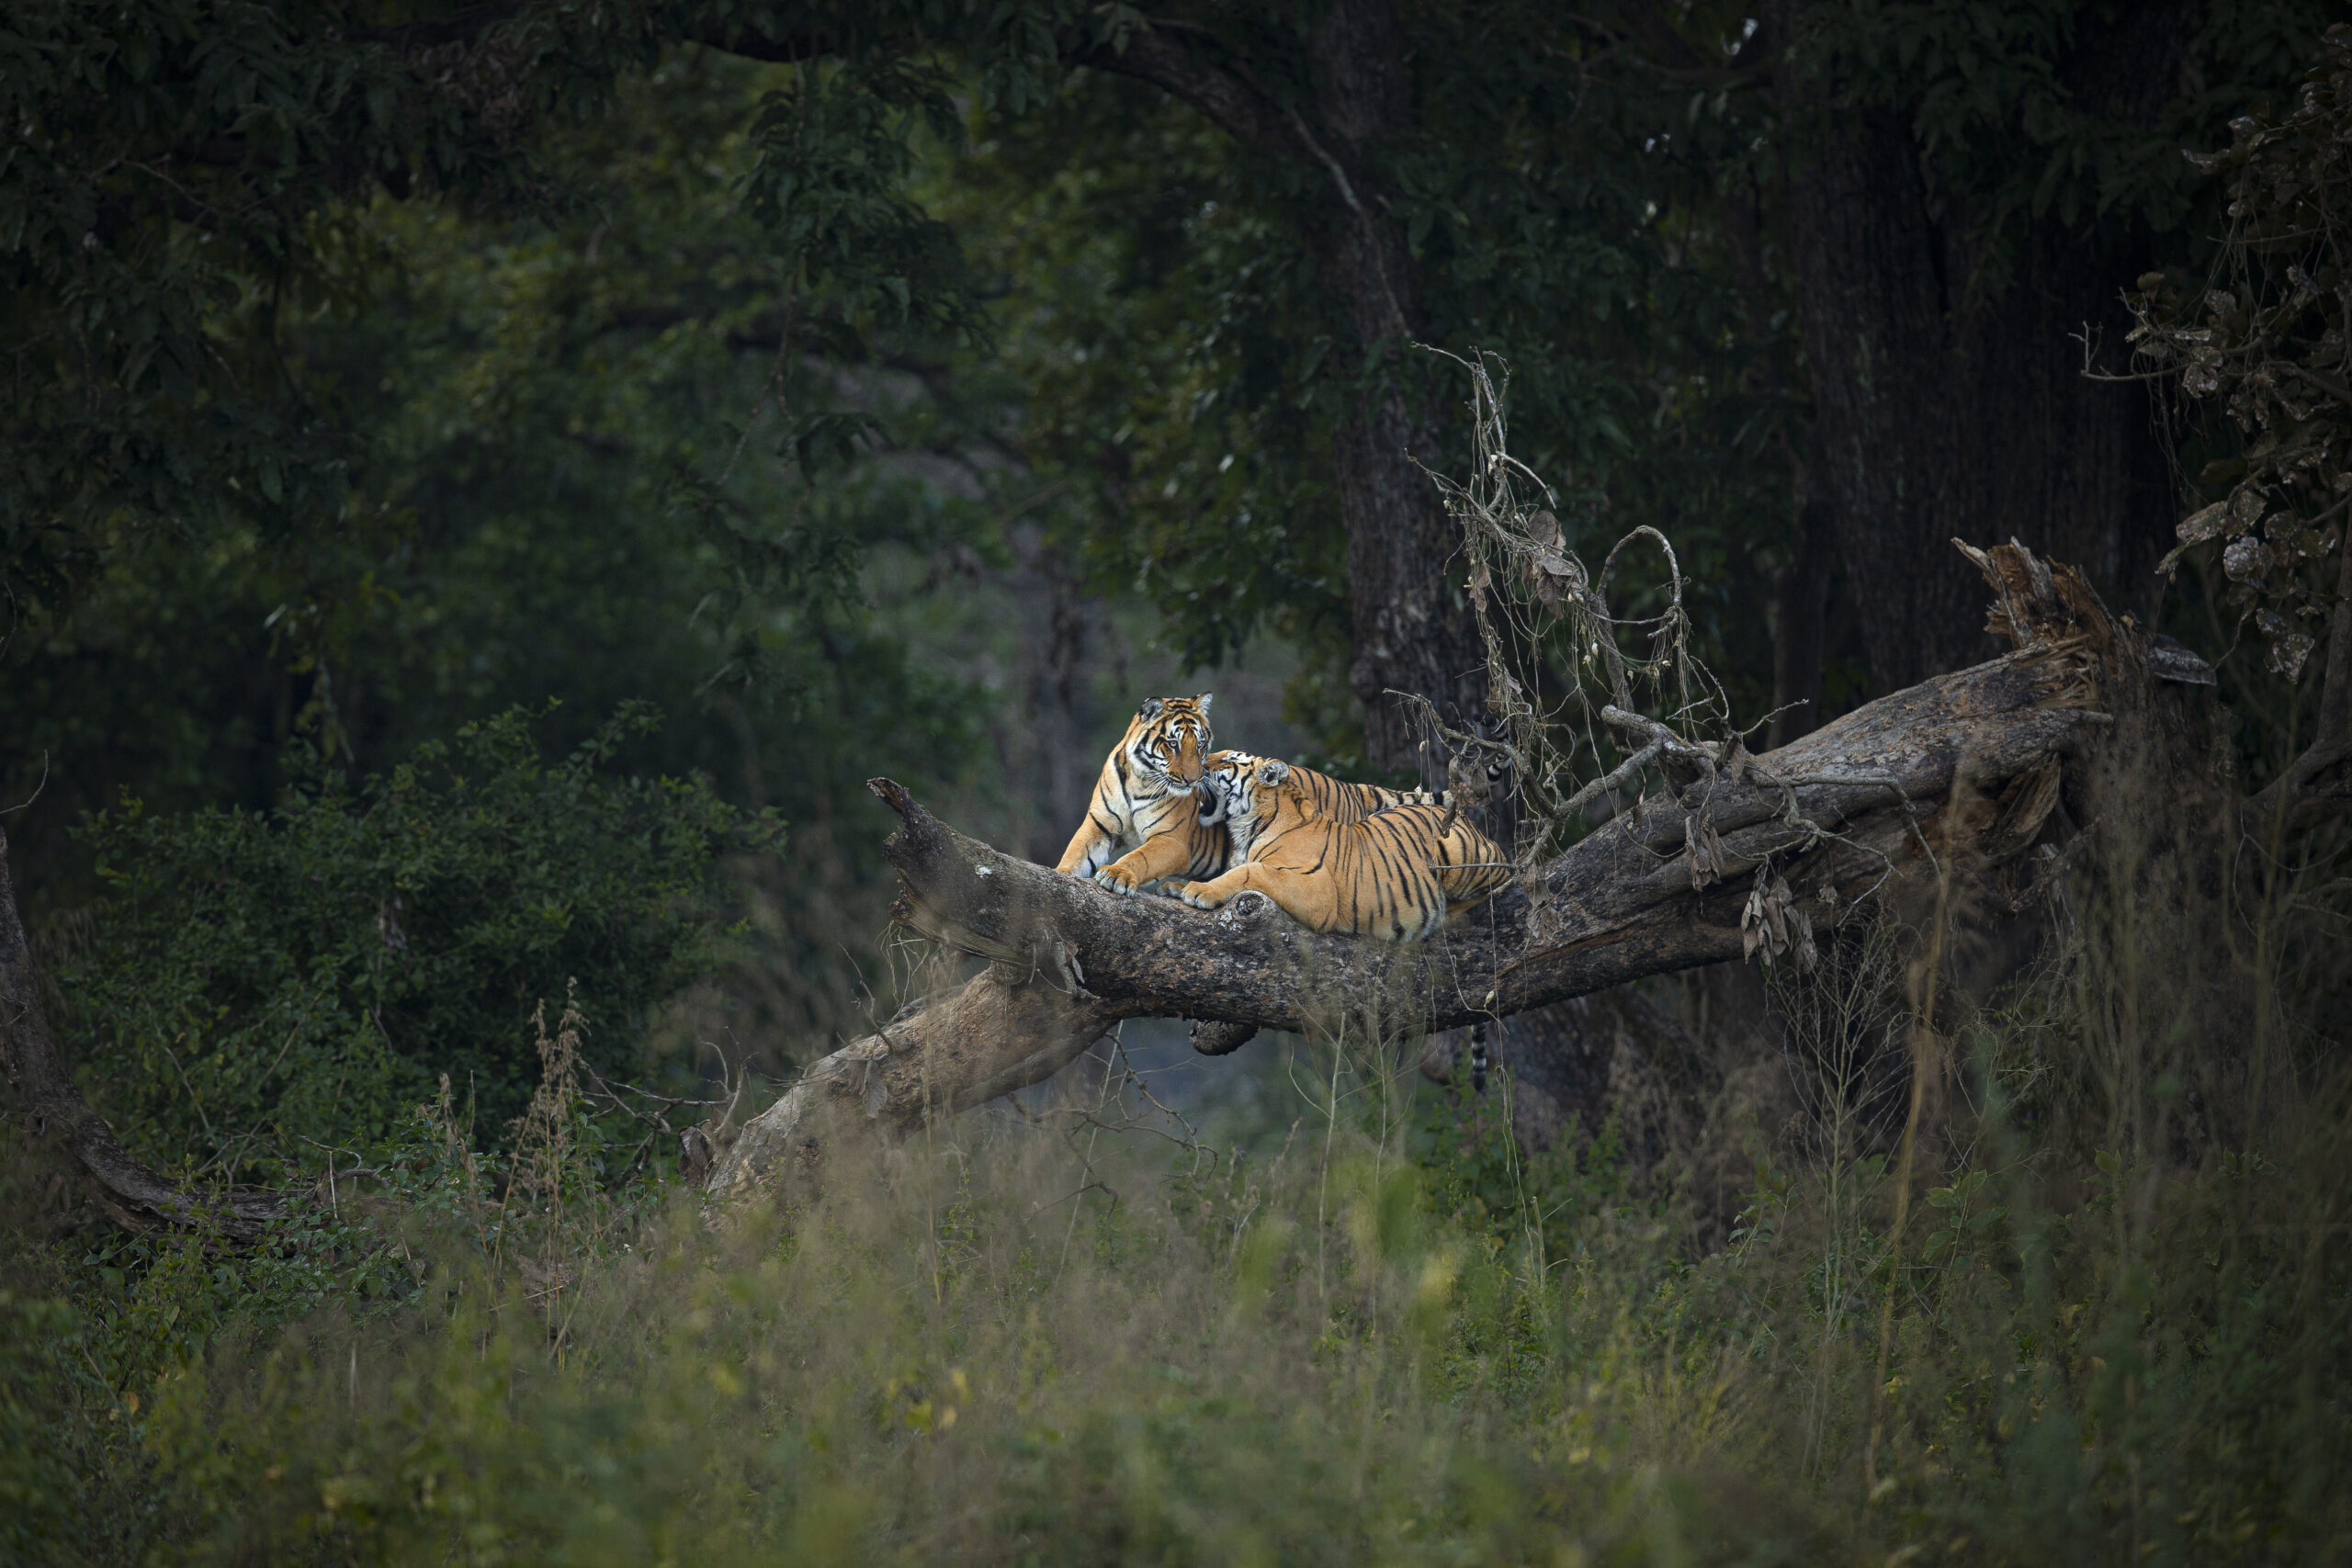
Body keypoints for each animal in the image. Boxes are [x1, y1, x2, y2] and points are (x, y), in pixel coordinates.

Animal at [1053, 695, 1223, 893]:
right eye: (1173, 744)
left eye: (1200, 744)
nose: (1193, 780)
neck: (1139, 780)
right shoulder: (1100, 824)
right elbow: (1077, 852)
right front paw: (1062, 873)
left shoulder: (1172, 839)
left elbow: (1140, 857)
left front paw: (1116, 874)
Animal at [1170, 751, 1514, 940]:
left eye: (1228, 760)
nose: (1199, 764)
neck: (1244, 828)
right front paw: (1178, 885)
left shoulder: (1315, 889)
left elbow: (1249, 872)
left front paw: (1199, 891)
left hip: (1462, 854)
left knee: (1506, 877)